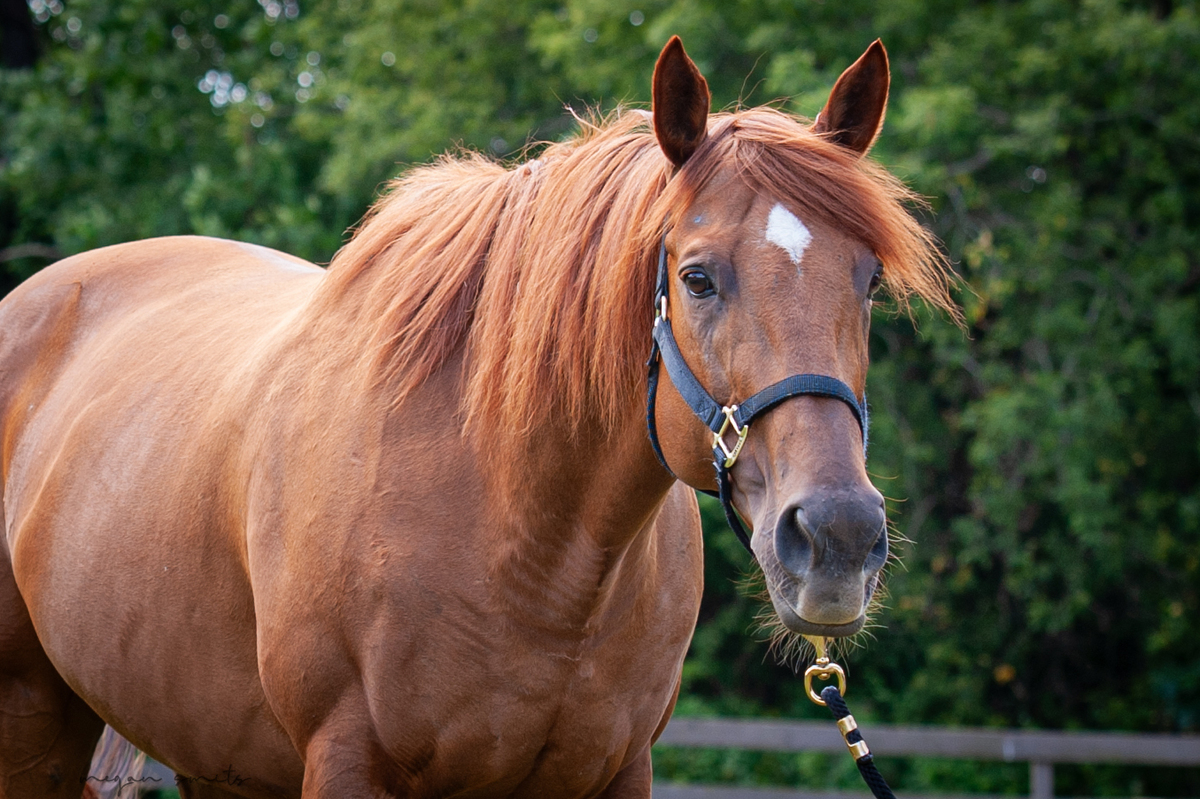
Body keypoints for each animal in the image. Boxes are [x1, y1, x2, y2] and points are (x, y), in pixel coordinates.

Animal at [0, 36, 953, 798]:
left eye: (868, 281)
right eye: (697, 277)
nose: (837, 539)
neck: (525, 542)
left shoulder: (619, 769)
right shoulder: (346, 761)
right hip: (37, 721)